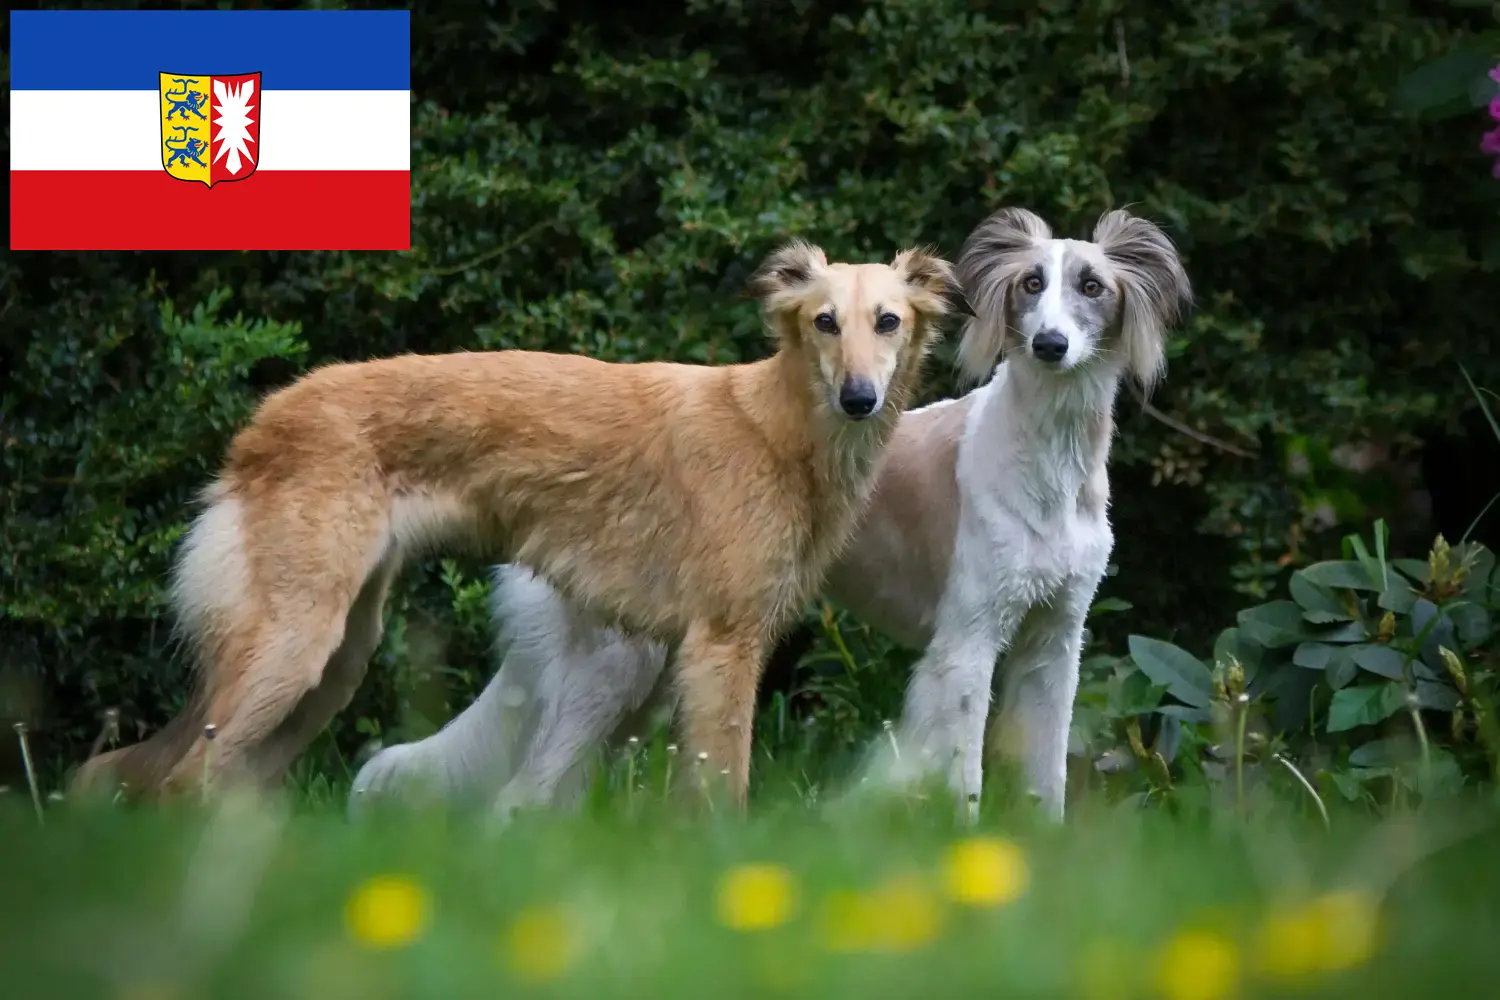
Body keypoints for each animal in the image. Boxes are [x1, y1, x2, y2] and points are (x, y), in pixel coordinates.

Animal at [76, 239, 954, 803]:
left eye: (889, 321)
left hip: (334, 665)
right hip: (293, 648)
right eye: (824, 321)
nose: (859, 400)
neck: (774, 425)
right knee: (180, 782)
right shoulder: (722, 646)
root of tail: (263, 422)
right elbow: (720, 795)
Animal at [345, 209, 1188, 821]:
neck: (1045, 463)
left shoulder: (1055, 645)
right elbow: (964, 779)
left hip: (643, 683)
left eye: (1092, 286)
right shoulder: (966, 645)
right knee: (522, 796)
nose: (1050, 346)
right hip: (617, 668)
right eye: (1029, 285)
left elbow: (1046, 780)